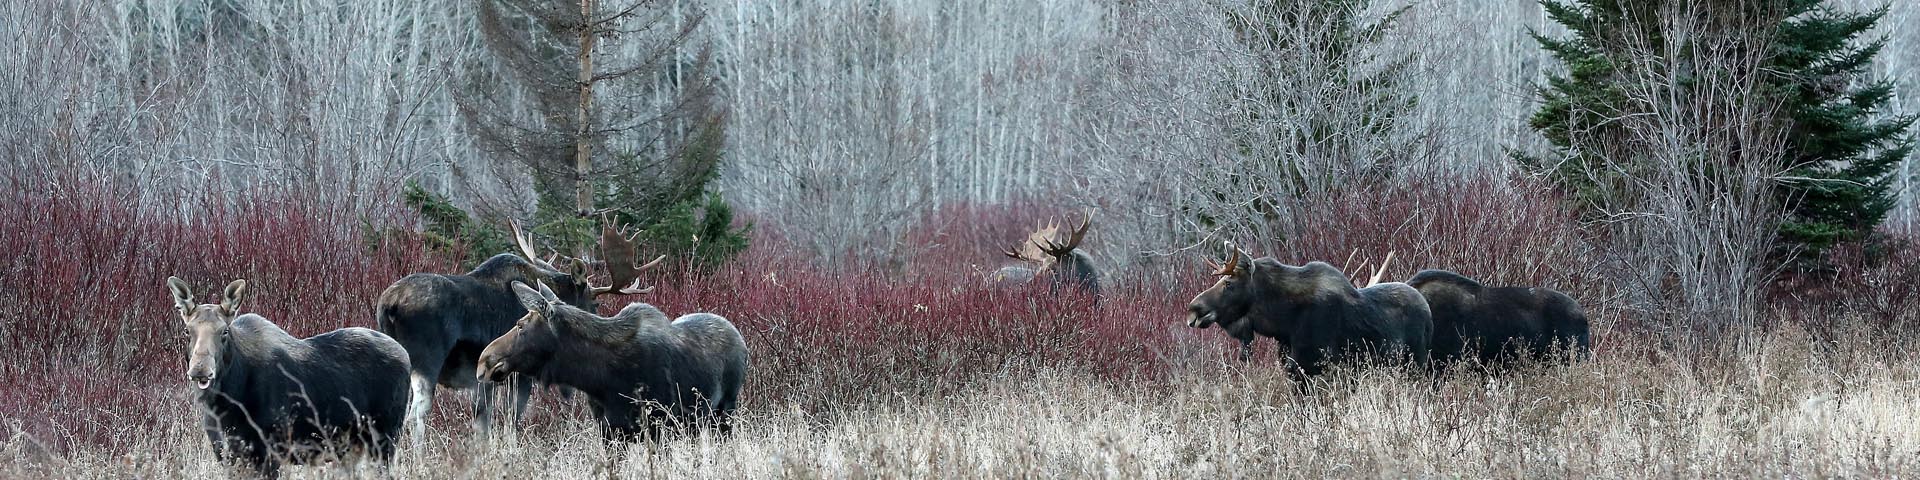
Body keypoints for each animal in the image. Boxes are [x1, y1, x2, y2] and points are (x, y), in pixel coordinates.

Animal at [166, 276, 408, 478]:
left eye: (224, 331)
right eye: (187, 331)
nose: (200, 370)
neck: (224, 403)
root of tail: (405, 354)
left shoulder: (269, 453)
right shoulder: (227, 454)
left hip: (384, 439)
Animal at [374, 217, 668, 439]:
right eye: (593, 301)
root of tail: (388, 305)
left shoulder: (485, 381)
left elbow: (482, 426)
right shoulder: (520, 375)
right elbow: (511, 423)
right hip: (427, 363)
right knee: (415, 417)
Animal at [480, 280, 748, 441]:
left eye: (520, 325)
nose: (484, 361)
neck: (601, 379)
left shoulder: (659, 425)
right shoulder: (609, 430)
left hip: (724, 412)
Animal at [1175, 243, 1436, 382]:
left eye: (1228, 283)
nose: (1193, 310)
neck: (1283, 322)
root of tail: (1427, 310)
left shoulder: (1318, 368)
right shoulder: (1294, 369)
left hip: (1417, 364)